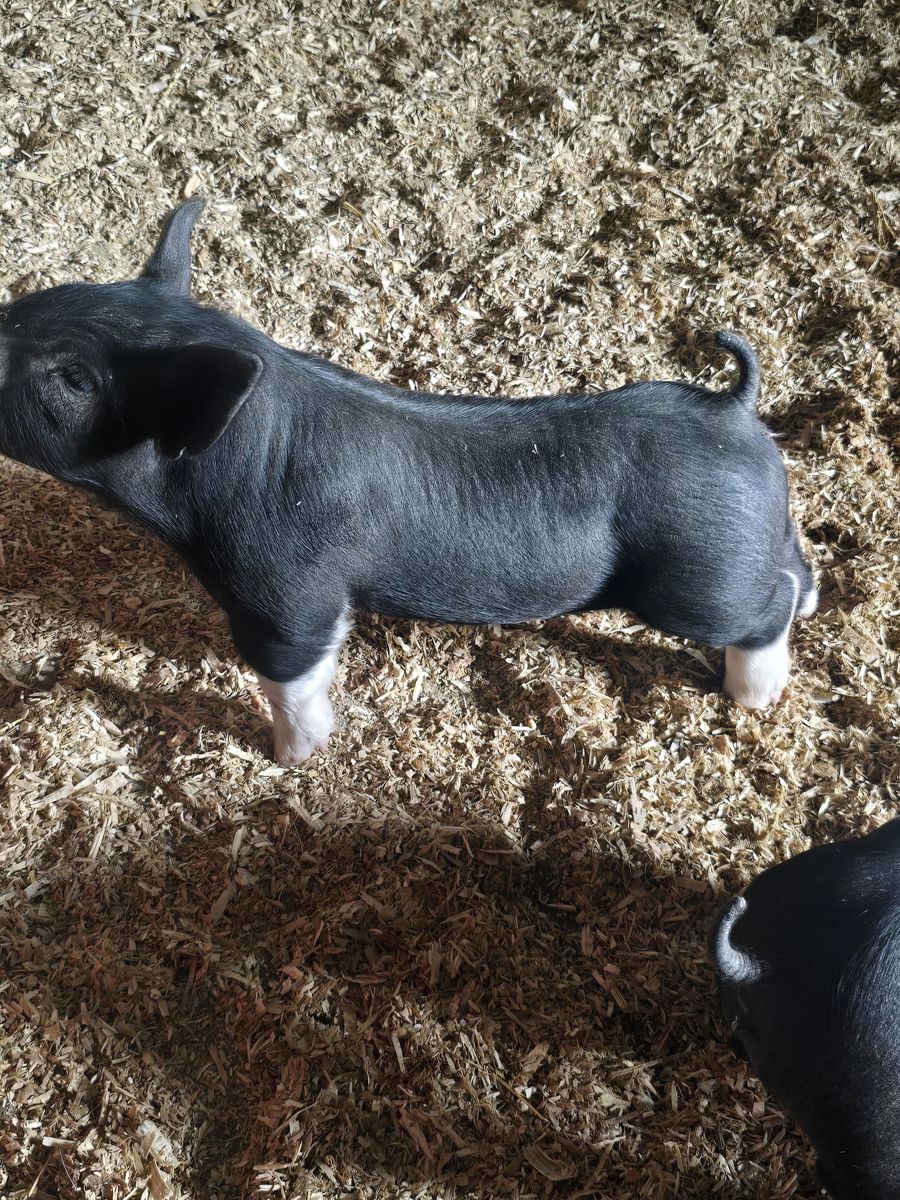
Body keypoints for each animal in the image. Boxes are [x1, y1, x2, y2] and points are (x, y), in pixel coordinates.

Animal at [0, 199, 817, 765]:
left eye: (74, 378)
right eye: (37, 298)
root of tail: (733, 408)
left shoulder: (285, 589)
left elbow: (291, 673)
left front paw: (291, 760)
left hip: (696, 575)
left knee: (763, 611)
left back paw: (754, 699)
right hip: (752, 537)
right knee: (796, 568)